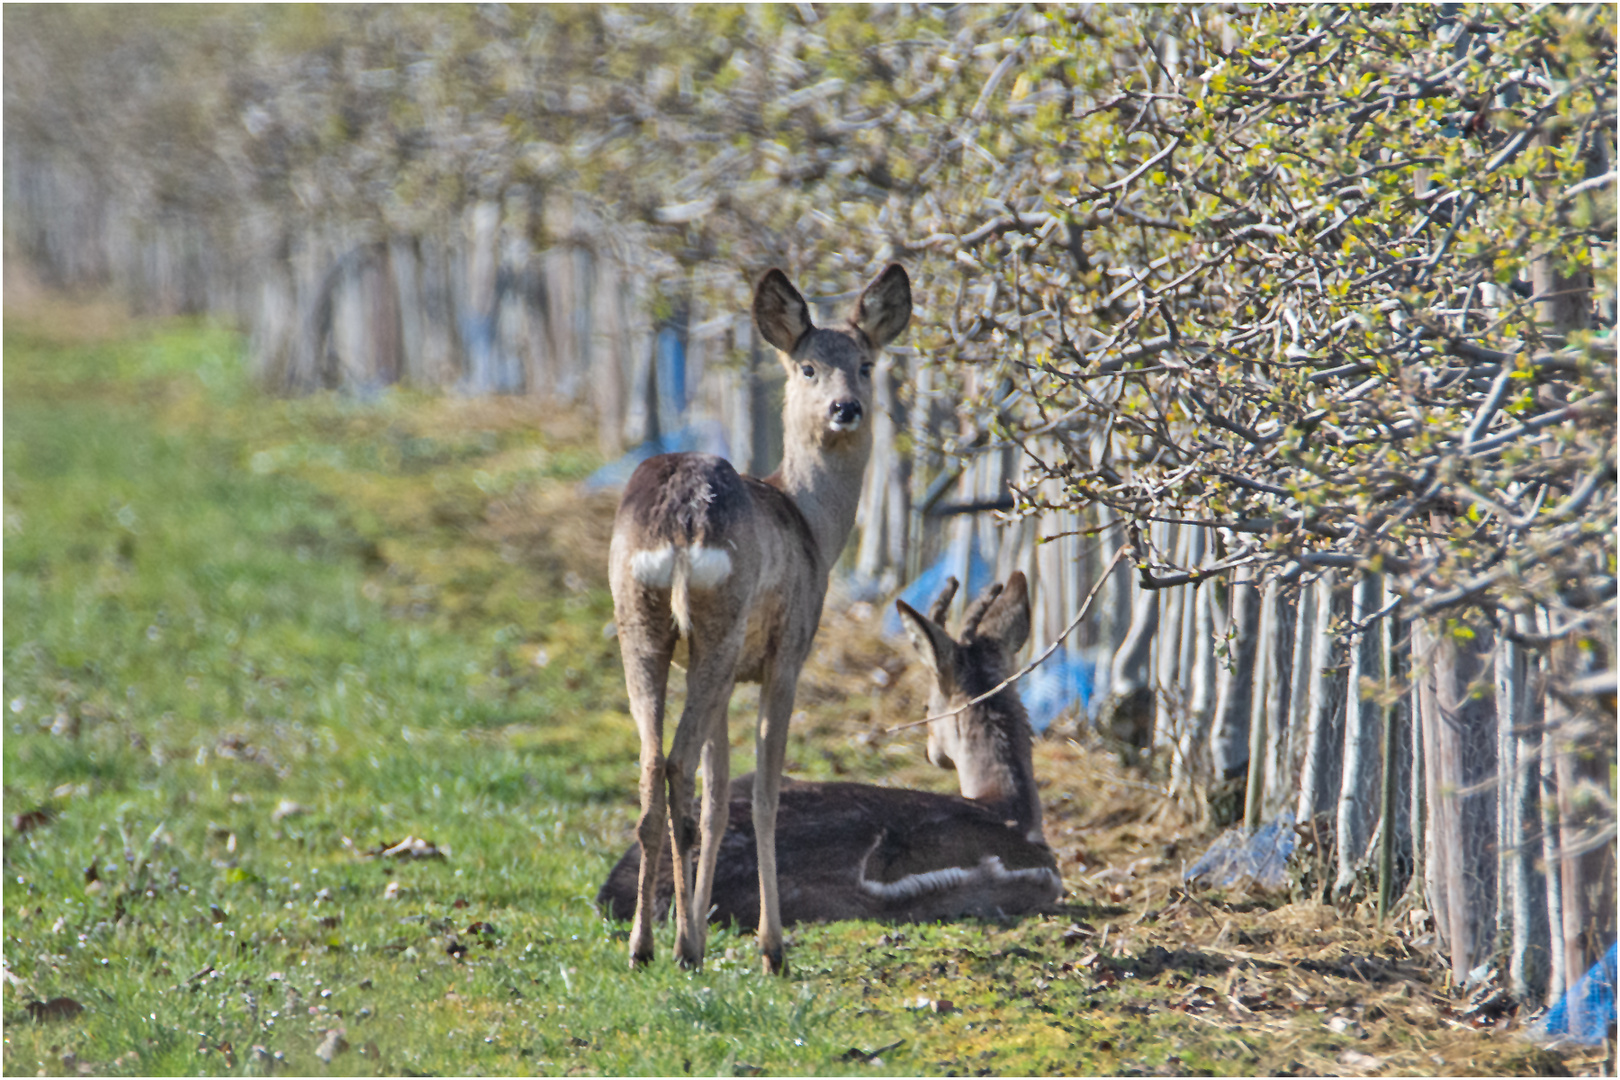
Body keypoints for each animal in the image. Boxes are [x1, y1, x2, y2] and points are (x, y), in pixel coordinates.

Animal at [609, 263, 913, 977]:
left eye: (865, 363)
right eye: (807, 367)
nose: (846, 408)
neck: (811, 526)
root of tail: (682, 517)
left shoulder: (727, 675)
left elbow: (723, 795)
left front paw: (702, 918)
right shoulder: (787, 652)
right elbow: (767, 795)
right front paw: (771, 947)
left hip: (642, 622)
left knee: (651, 766)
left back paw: (645, 945)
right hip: (719, 623)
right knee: (674, 766)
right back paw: (684, 948)